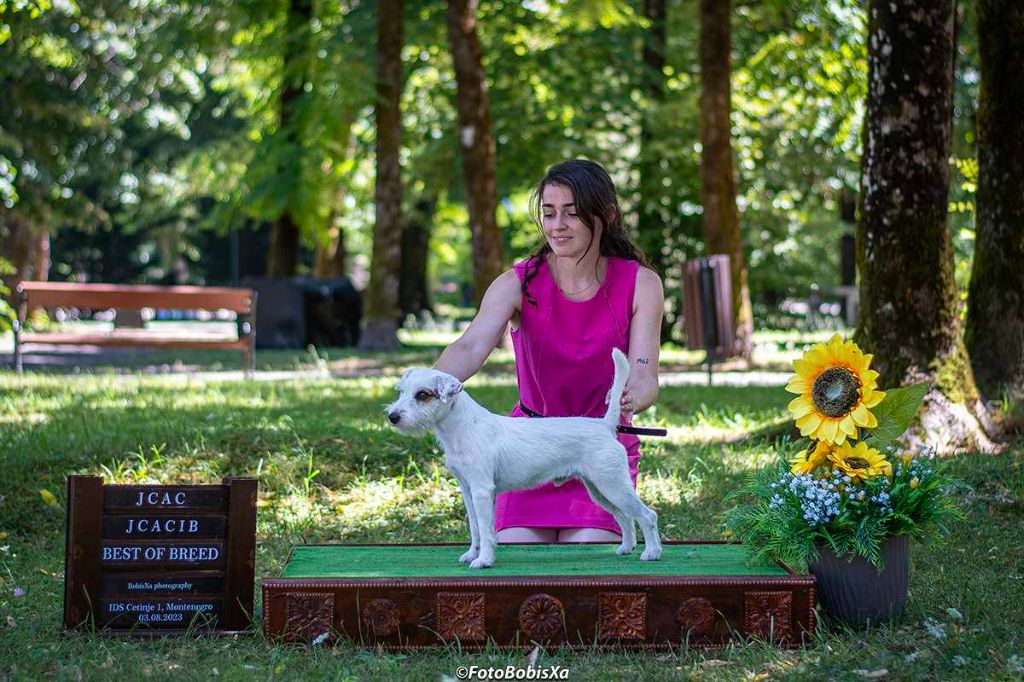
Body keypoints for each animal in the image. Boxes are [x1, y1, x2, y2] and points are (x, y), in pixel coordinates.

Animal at [385, 348, 663, 565]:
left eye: (422, 395)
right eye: (401, 392)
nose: (392, 416)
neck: (462, 427)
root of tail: (604, 425)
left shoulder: (482, 491)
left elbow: (485, 529)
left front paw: (483, 560)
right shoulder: (467, 490)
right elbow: (475, 528)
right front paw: (472, 554)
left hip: (613, 485)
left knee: (646, 515)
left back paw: (651, 552)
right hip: (600, 490)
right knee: (624, 516)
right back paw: (625, 548)